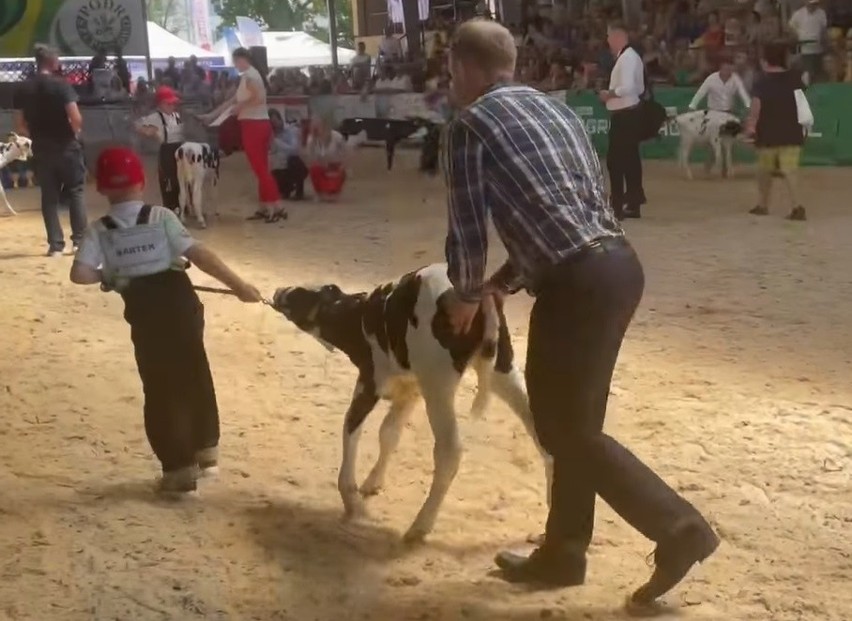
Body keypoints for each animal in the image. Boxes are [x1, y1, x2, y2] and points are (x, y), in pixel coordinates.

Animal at [270, 262, 556, 544]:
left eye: (300, 295)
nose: (278, 291)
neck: (358, 318)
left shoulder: (370, 381)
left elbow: (351, 426)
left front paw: (353, 503)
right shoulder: (410, 390)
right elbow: (388, 433)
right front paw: (372, 482)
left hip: (438, 385)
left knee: (449, 451)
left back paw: (419, 527)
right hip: (502, 369)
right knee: (544, 438)